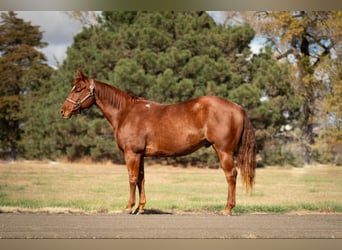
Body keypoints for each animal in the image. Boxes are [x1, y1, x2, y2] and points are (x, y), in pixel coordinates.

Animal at [60, 69, 255, 215]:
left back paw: (227, 209)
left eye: (78, 90)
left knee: (231, 175)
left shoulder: (131, 154)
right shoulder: (140, 155)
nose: (63, 111)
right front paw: (140, 208)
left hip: (223, 150)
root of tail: (238, 107)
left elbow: (132, 179)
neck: (126, 113)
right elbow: (141, 178)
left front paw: (128, 207)